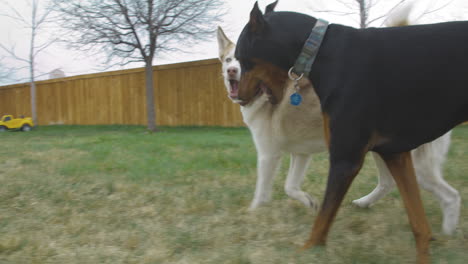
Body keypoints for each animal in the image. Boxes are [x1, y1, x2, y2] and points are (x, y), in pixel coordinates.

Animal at [236, 1, 466, 262]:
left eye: (241, 58)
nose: (239, 97)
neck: (323, 50)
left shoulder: (344, 160)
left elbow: (322, 221)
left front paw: (306, 251)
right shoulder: (396, 154)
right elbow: (419, 224)